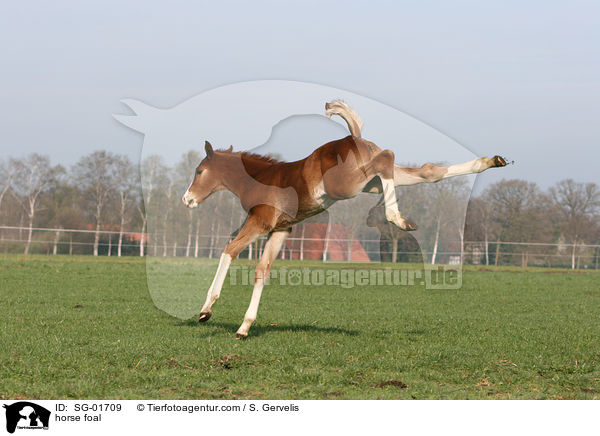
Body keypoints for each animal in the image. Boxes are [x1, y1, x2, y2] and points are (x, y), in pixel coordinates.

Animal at [182, 100, 506, 338]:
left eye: (199, 171)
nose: (187, 199)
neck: (258, 178)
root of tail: (354, 137)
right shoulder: (281, 230)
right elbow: (262, 270)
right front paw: (244, 327)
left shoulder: (261, 223)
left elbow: (229, 251)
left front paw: (206, 310)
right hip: (368, 183)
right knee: (426, 171)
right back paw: (489, 161)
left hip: (347, 185)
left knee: (388, 156)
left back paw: (397, 218)